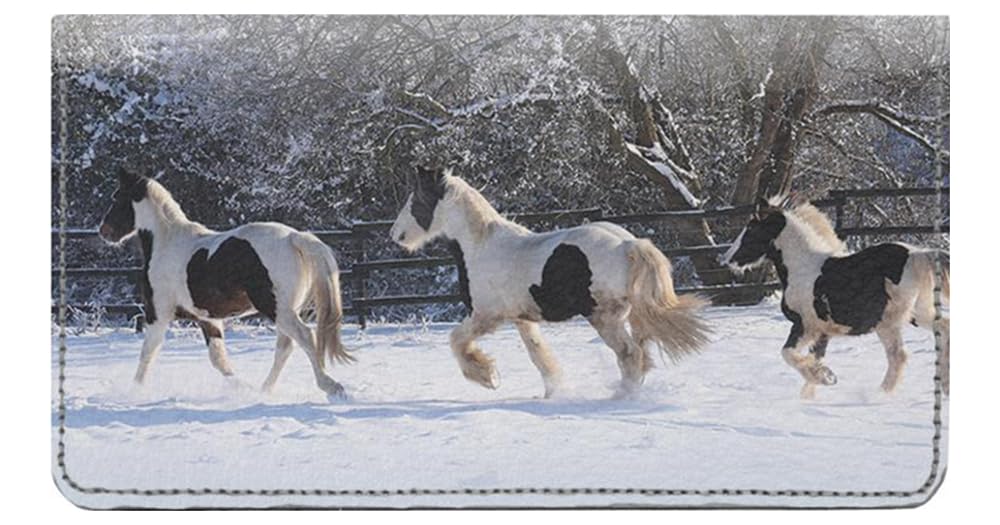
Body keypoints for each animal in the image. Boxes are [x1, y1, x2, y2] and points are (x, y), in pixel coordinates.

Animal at [98, 169, 353, 399]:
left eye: (117, 198)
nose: (103, 232)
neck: (166, 242)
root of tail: (293, 237)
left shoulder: (157, 315)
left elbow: (147, 353)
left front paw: (134, 391)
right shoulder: (208, 319)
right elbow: (218, 359)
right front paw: (243, 387)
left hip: (277, 308)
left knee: (305, 337)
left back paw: (331, 386)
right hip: (286, 310)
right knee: (285, 347)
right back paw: (264, 390)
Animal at [389, 166, 712, 398]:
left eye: (415, 201)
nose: (395, 235)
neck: (480, 245)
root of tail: (627, 244)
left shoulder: (486, 316)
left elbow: (456, 340)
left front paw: (487, 377)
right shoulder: (521, 318)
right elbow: (538, 354)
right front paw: (552, 391)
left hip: (603, 316)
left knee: (629, 354)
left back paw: (622, 397)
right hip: (628, 314)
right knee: (641, 352)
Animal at [721, 196, 950, 398]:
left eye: (751, 229)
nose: (726, 259)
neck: (802, 267)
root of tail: (918, 254)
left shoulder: (805, 326)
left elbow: (788, 354)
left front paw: (825, 377)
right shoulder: (822, 332)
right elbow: (814, 359)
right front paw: (814, 390)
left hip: (888, 322)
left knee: (898, 356)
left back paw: (879, 396)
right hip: (917, 313)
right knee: (942, 328)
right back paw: (943, 387)